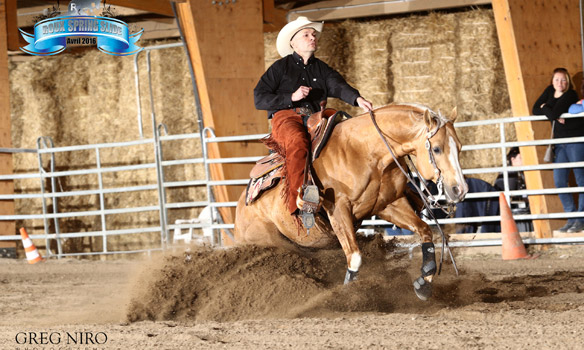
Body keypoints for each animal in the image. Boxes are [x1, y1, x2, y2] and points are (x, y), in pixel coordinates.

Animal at [235, 102, 468, 300]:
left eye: (460, 147)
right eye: (436, 149)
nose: (460, 189)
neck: (364, 151)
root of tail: (239, 212)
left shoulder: (389, 205)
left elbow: (425, 231)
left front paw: (424, 283)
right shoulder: (338, 210)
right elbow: (355, 257)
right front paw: (348, 294)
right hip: (271, 242)